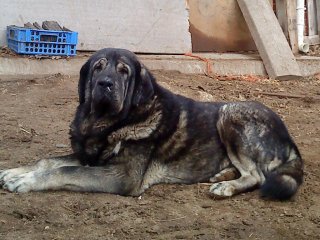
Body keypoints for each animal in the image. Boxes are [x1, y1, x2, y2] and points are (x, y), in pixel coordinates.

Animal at [0, 47, 304, 200]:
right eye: (98, 67)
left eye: (123, 72)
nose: (105, 84)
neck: (107, 122)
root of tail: (291, 140)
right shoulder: (90, 157)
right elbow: (48, 161)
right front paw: (15, 172)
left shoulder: (122, 176)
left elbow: (64, 170)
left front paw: (25, 181)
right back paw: (222, 175)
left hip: (231, 112)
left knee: (257, 176)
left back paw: (226, 187)